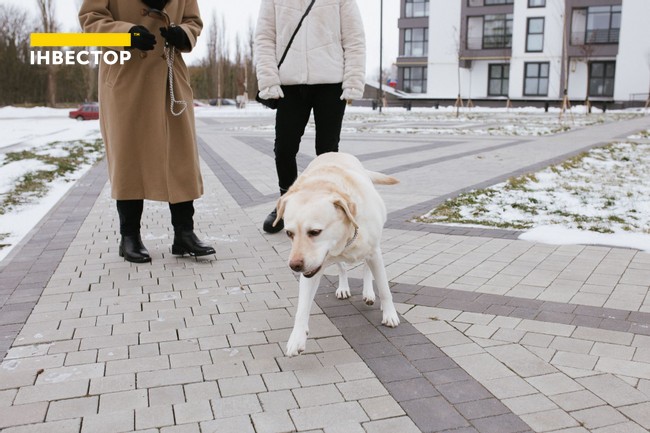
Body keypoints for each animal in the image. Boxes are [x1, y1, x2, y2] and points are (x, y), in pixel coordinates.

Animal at [274, 152, 400, 354]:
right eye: (289, 233)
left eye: (315, 232)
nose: (295, 266)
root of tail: (333, 153)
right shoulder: (313, 270)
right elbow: (302, 307)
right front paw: (297, 338)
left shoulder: (374, 252)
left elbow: (384, 288)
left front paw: (389, 315)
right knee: (342, 268)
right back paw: (343, 288)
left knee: (366, 268)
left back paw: (368, 293)